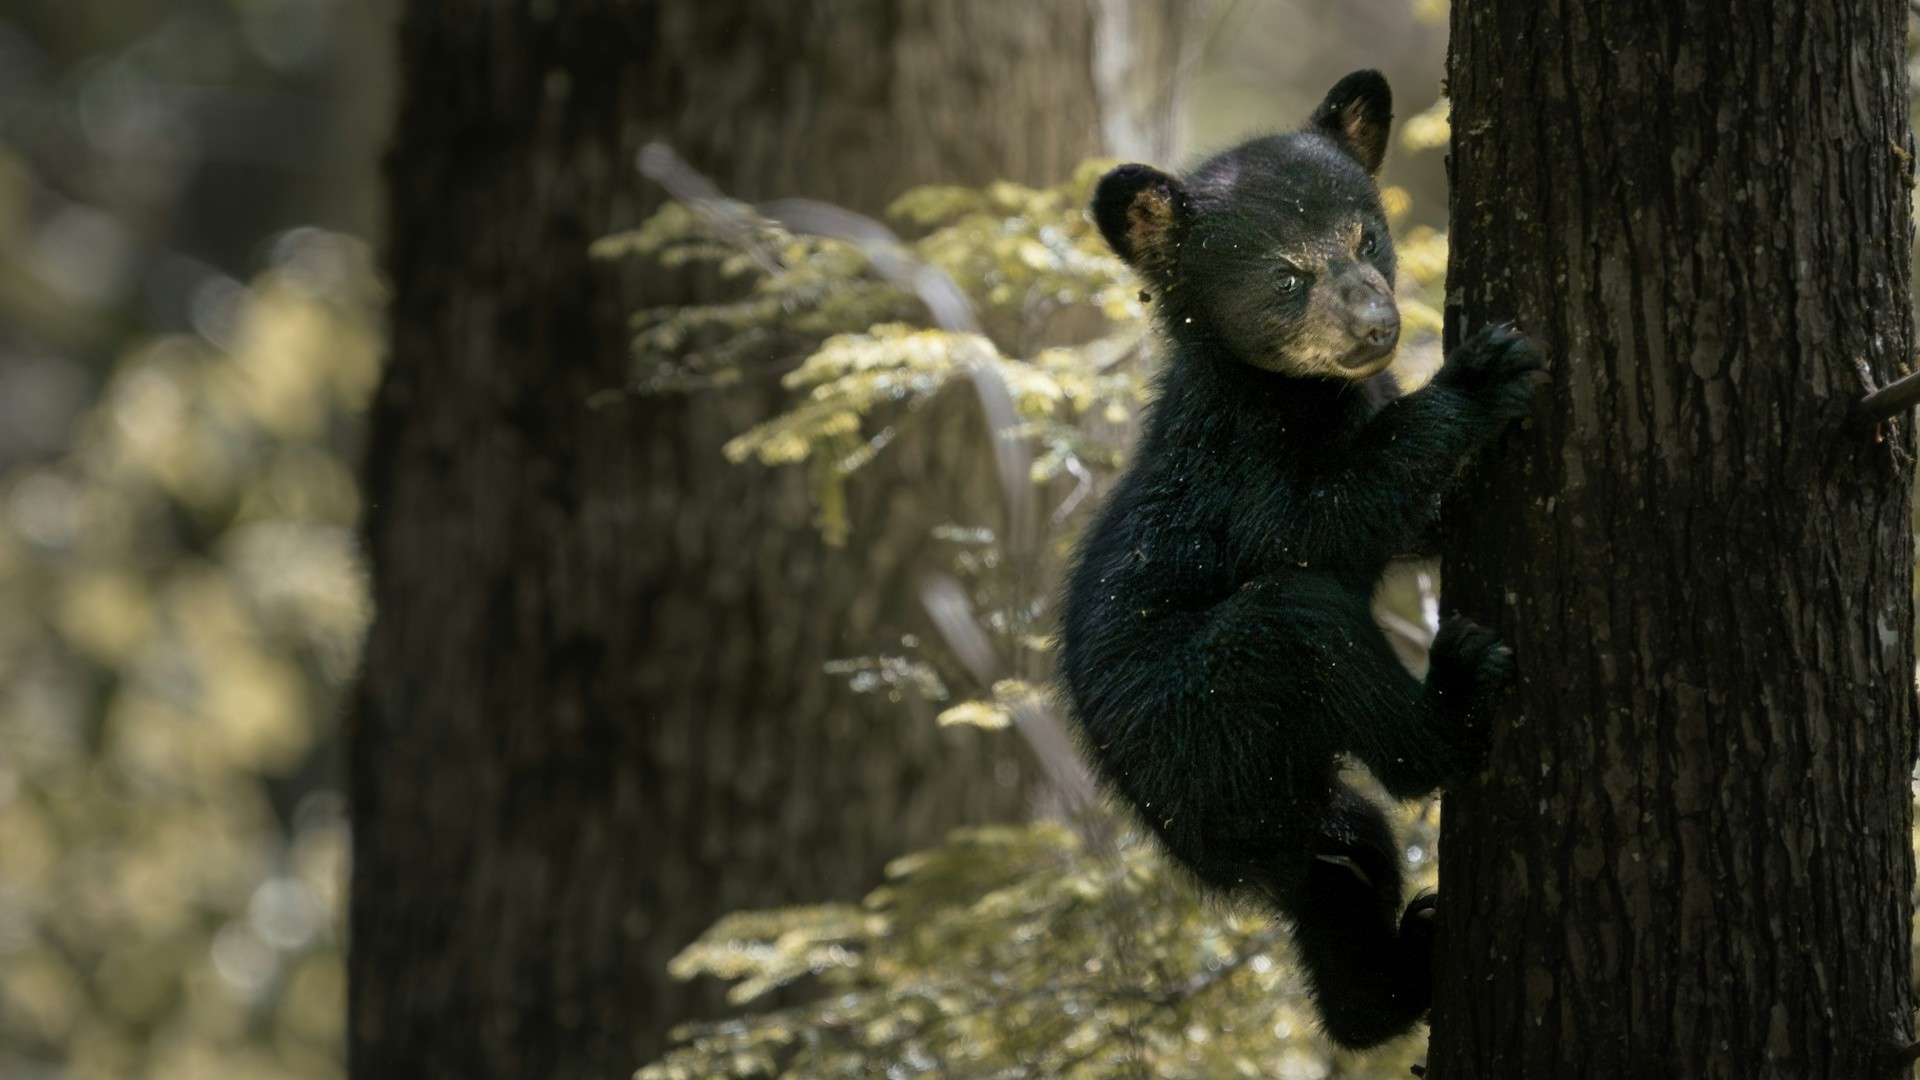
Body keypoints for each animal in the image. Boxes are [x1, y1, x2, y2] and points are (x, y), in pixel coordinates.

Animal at [1057, 70, 1540, 1050]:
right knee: (1309, 633)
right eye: (1286, 275)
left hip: (1290, 802)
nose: (1377, 325)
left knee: (1344, 868)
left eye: (1367, 236)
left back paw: (1390, 979)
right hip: (1207, 705)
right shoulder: (1237, 466)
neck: (1300, 395)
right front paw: (1474, 382)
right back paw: (1456, 696)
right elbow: (1316, 525)